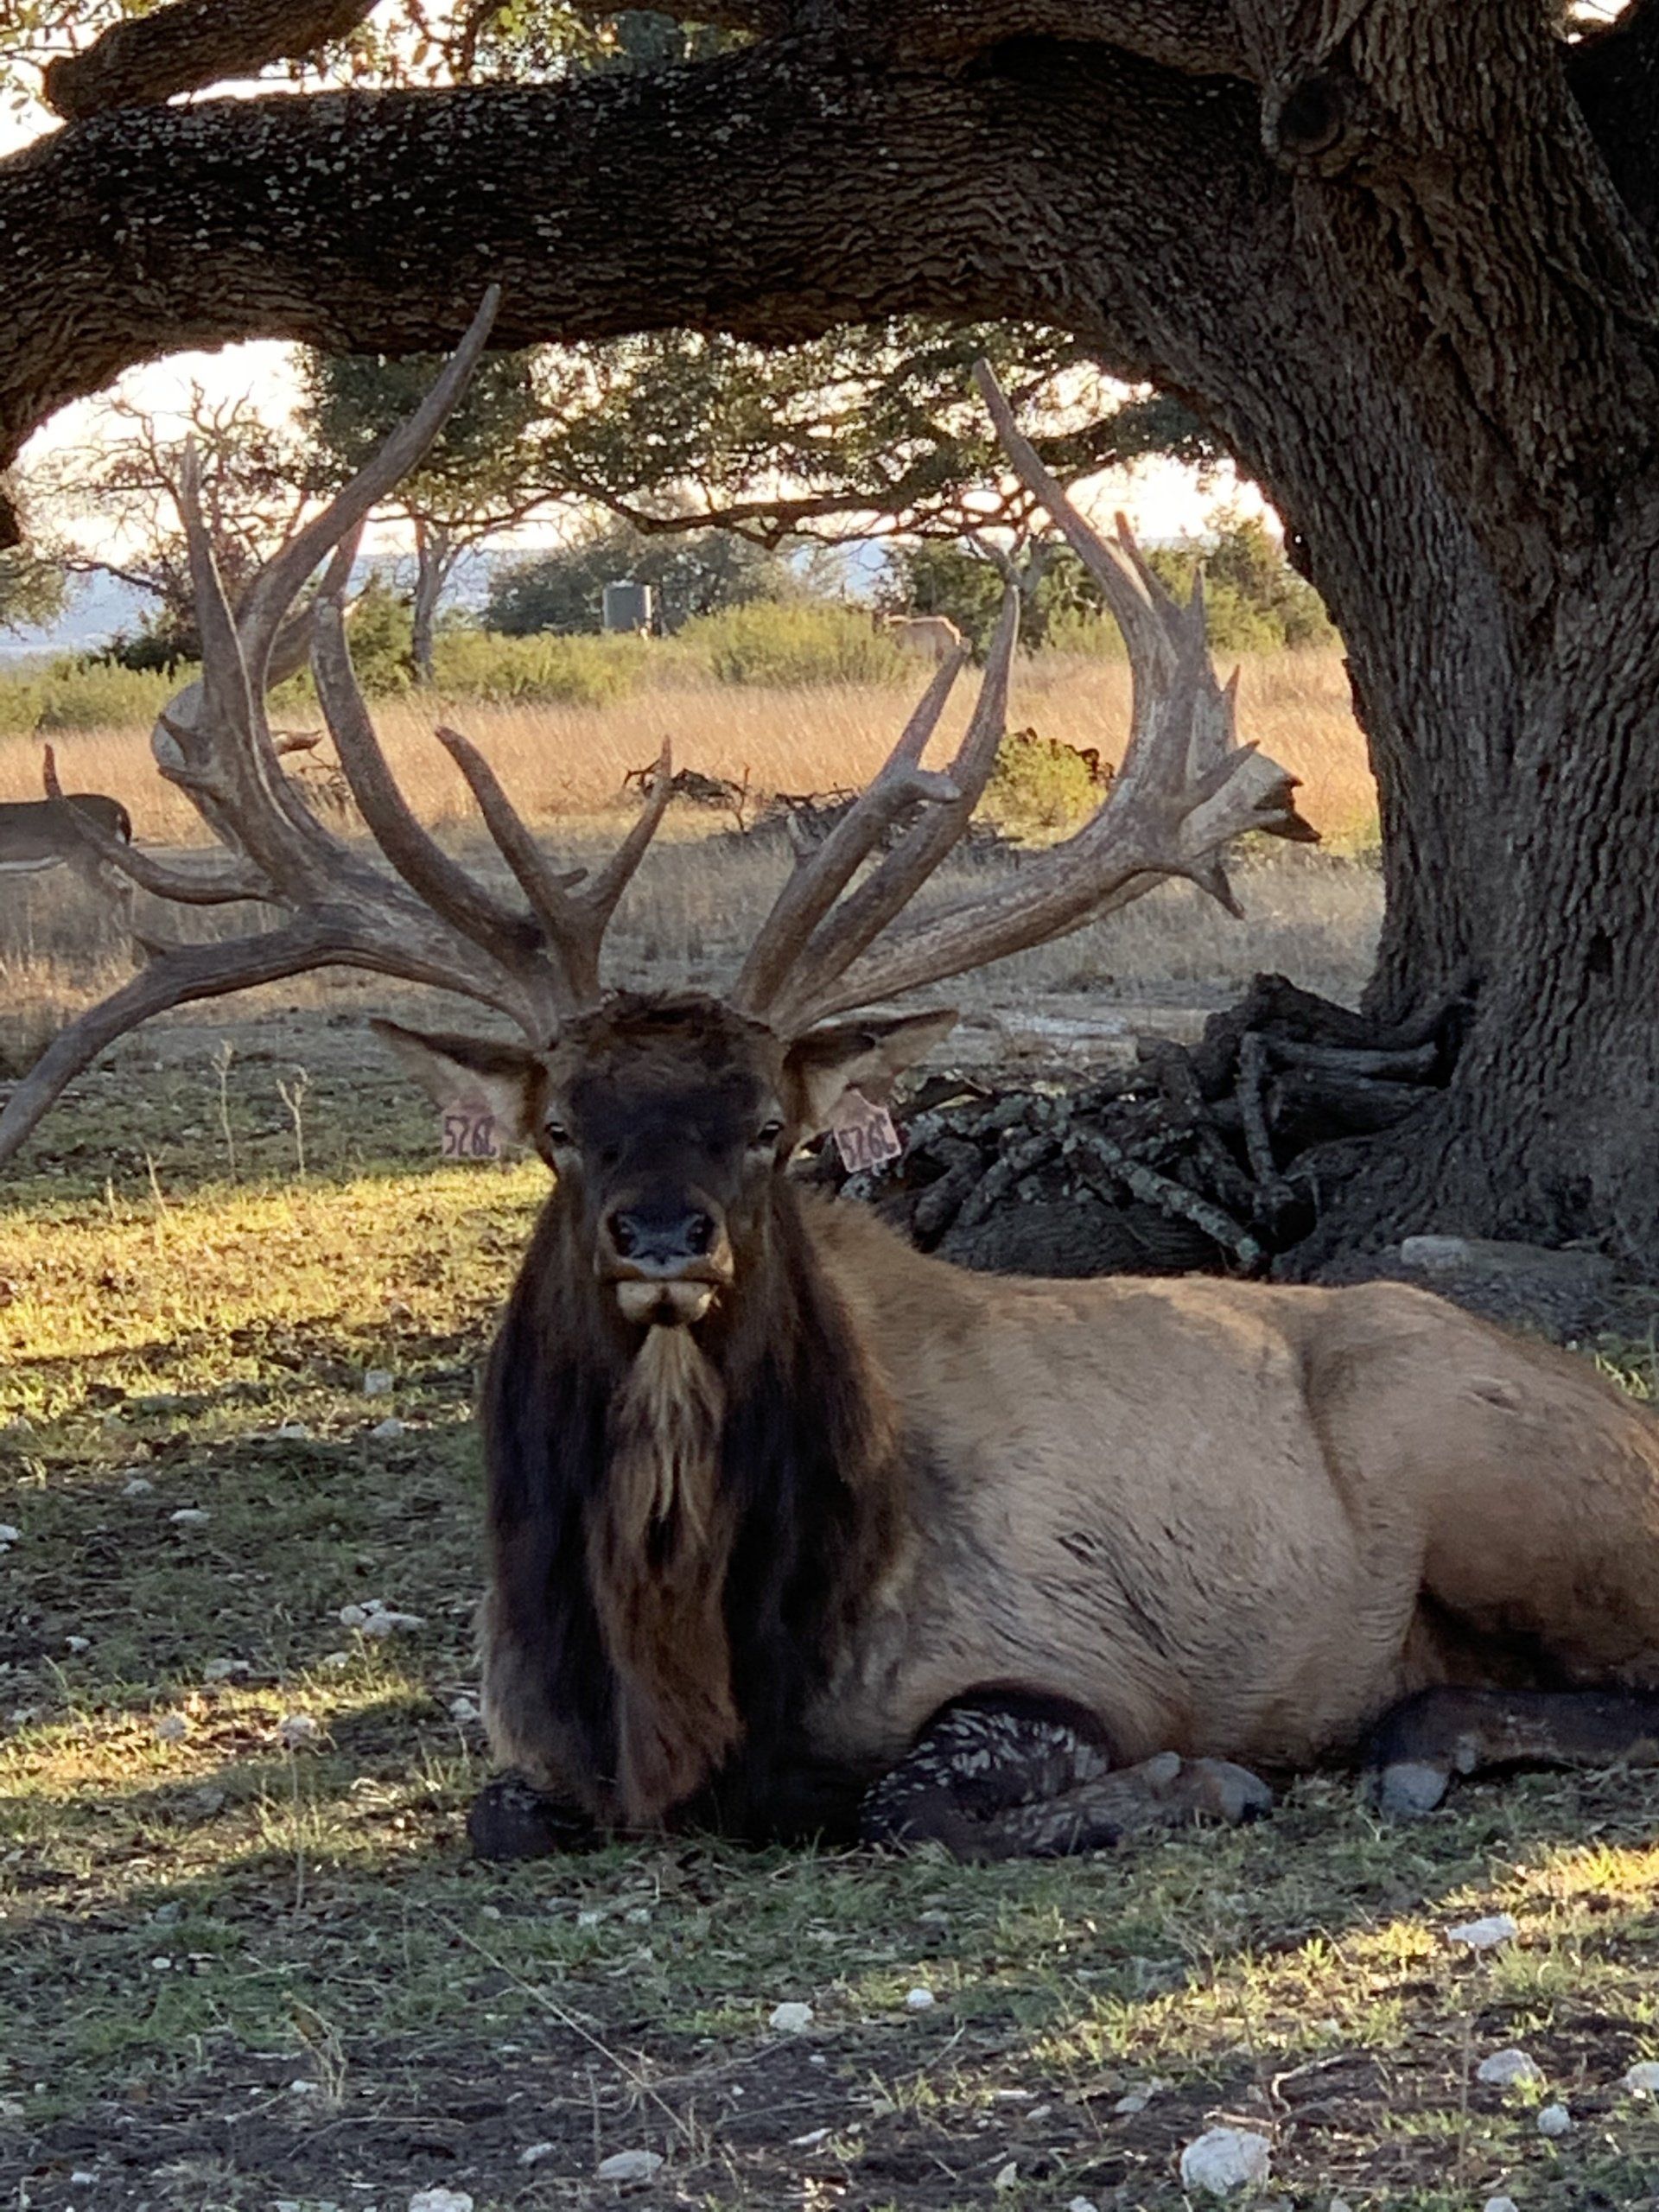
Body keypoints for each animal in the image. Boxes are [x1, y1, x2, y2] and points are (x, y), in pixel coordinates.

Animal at [7, 293, 1659, 1863]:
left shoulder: (1070, 1654)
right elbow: (496, 1816)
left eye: (764, 1125)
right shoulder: (522, 1735)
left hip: (1497, 1477)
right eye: (562, 1130)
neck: (688, 1676)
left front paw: (1206, 1784)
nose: (665, 1235)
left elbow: (913, 1799)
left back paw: (1421, 1739)